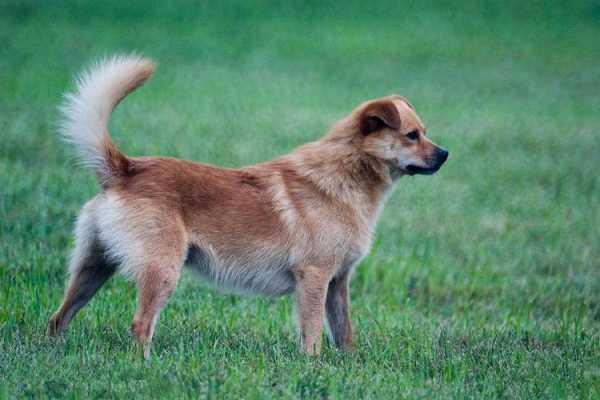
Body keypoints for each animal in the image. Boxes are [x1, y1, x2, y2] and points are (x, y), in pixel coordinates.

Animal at [47, 54, 448, 358]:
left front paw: (347, 364)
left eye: (424, 132)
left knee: (58, 317)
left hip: (94, 267)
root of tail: (126, 168)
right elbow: (313, 335)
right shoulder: (314, 278)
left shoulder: (338, 282)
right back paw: (145, 365)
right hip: (161, 271)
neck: (346, 174)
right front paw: (313, 367)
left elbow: (343, 331)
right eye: (412, 136)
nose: (445, 154)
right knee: (140, 324)